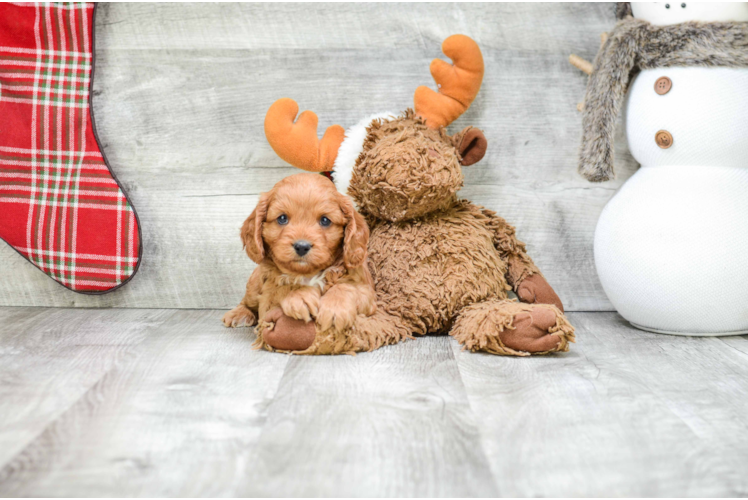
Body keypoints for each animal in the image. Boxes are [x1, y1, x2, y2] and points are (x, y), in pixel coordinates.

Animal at [221, 172, 374, 352]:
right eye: (282, 218)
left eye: (325, 220)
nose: (302, 246)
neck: (309, 274)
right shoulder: (267, 301)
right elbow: (283, 286)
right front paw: (300, 296)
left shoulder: (368, 293)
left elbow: (348, 286)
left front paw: (336, 308)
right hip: (254, 285)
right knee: (247, 301)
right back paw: (238, 313)